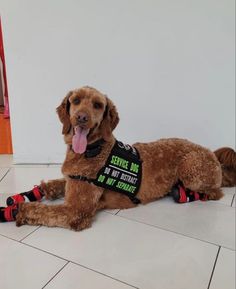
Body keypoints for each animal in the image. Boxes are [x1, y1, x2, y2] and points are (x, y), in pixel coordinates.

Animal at [15, 85, 233, 230]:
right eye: (75, 101)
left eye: (97, 105)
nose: (82, 118)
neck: (94, 149)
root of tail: (211, 153)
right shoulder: (73, 180)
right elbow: (59, 182)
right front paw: (41, 189)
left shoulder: (76, 210)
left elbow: (43, 210)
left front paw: (21, 210)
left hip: (191, 169)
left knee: (215, 192)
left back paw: (184, 193)